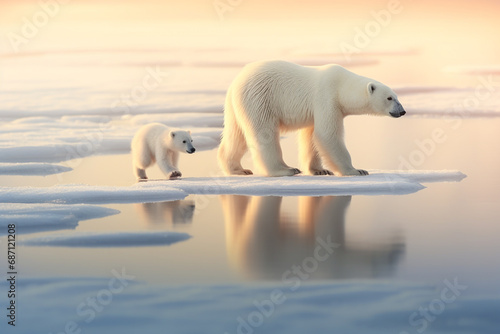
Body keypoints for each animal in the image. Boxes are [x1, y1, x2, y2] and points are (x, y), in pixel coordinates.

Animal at [217, 59, 404, 177]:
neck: (341, 86)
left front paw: (320, 170)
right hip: (260, 98)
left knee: (235, 135)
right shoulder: (327, 98)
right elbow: (327, 135)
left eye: (396, 96)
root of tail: (236, 81)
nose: (402, 111)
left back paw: (238, 169)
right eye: (390, 98)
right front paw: (356, 170)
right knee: (264, 134)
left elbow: (312, 136)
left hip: (236, 106)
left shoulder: (317, 108)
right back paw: (285, 170)